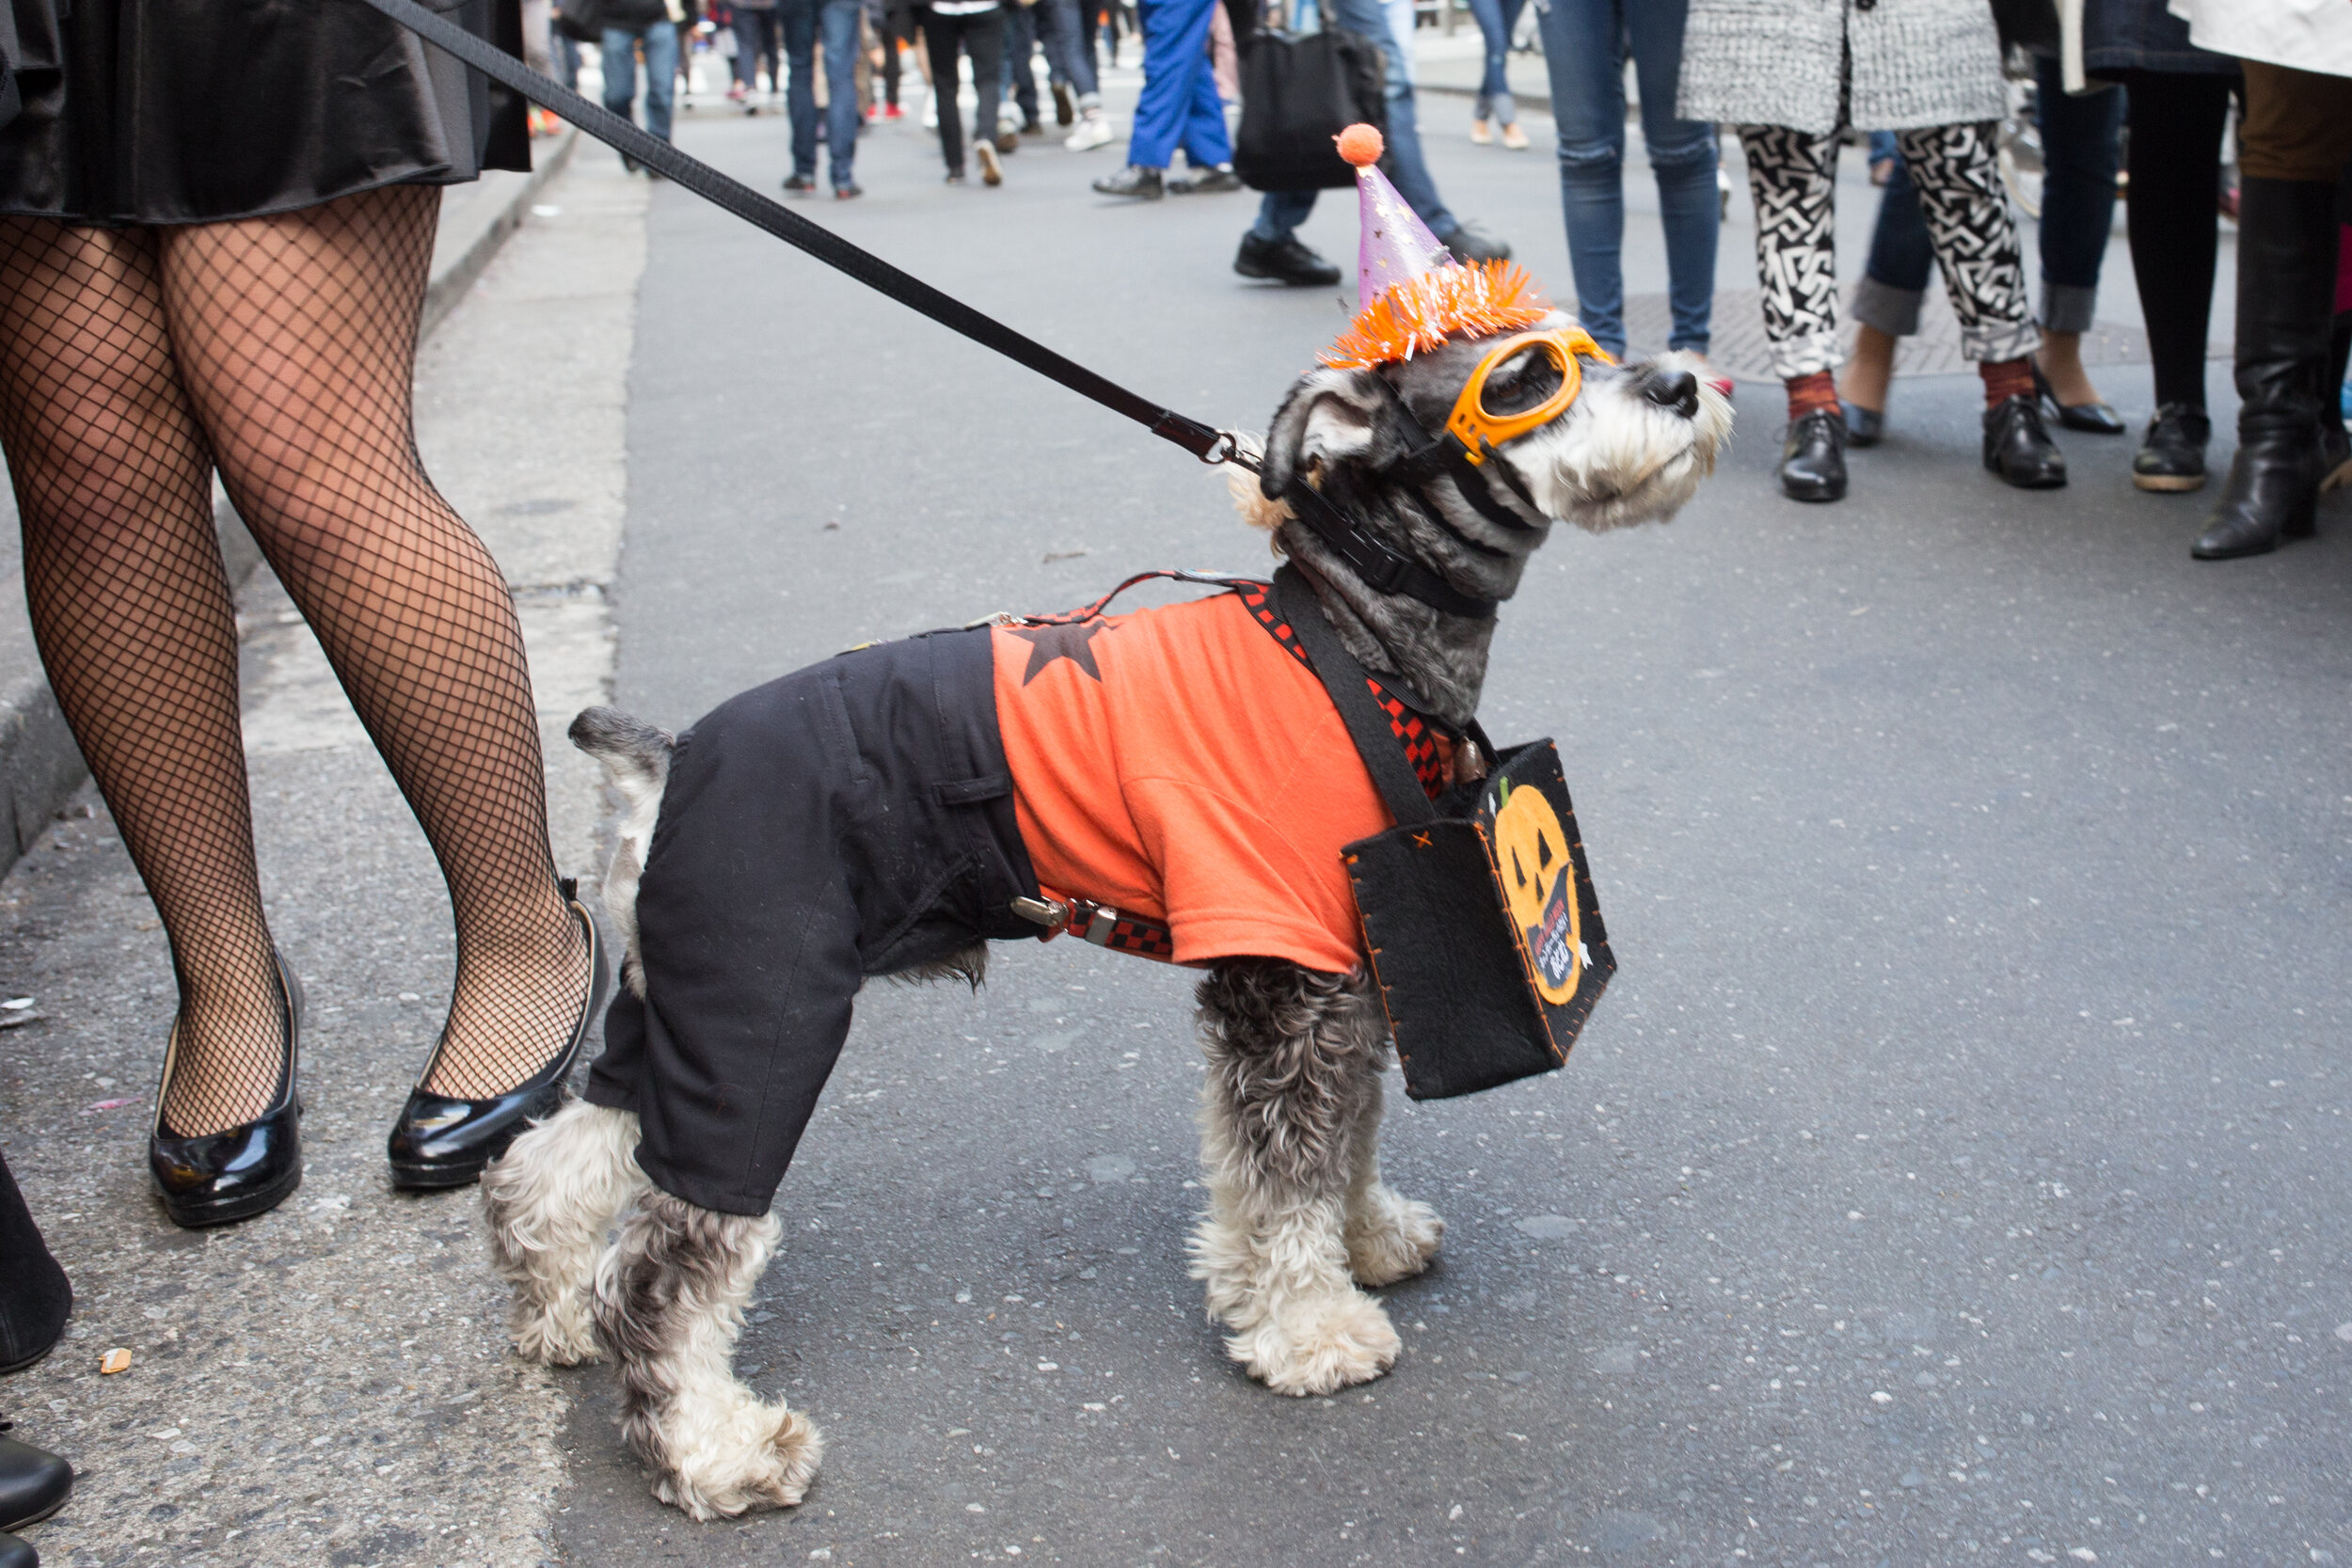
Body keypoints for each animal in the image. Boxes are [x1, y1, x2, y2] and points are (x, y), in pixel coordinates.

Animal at [482, 305, 1731, 1523]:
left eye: (1590, 347)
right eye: (1524, 378)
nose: (1682, 382)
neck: (1352, 643)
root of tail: (670, 759)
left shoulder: (1347, 965)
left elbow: (1345, 1137)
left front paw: (1363, 1240)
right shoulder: (1280, 980)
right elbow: (1287, 1169)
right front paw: (1309, 1326)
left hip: (674, 1007)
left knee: (563, 1159)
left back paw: (555, 1312)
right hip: (760, 1022)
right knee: (672, 1255)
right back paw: (714, 1450)